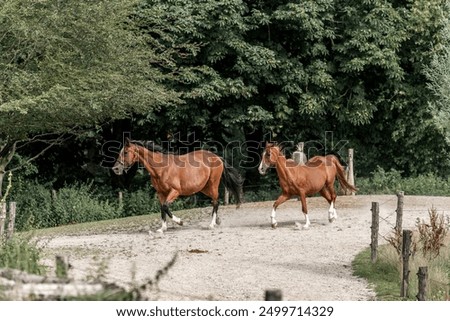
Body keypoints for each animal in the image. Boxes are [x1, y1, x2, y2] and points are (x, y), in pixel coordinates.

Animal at [112, 136, 243, 231]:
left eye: (125, 152)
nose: (115, 168)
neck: (161, 168)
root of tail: (217, 157)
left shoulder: (175, 191)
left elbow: (165, 206)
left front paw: (180, 222)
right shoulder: (161, 193)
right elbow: (162, 208)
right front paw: (162, 228)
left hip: (213, 184)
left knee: (215, 202)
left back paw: (211, 225)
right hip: (204, 188)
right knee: (216, 201)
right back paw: (217, 221)